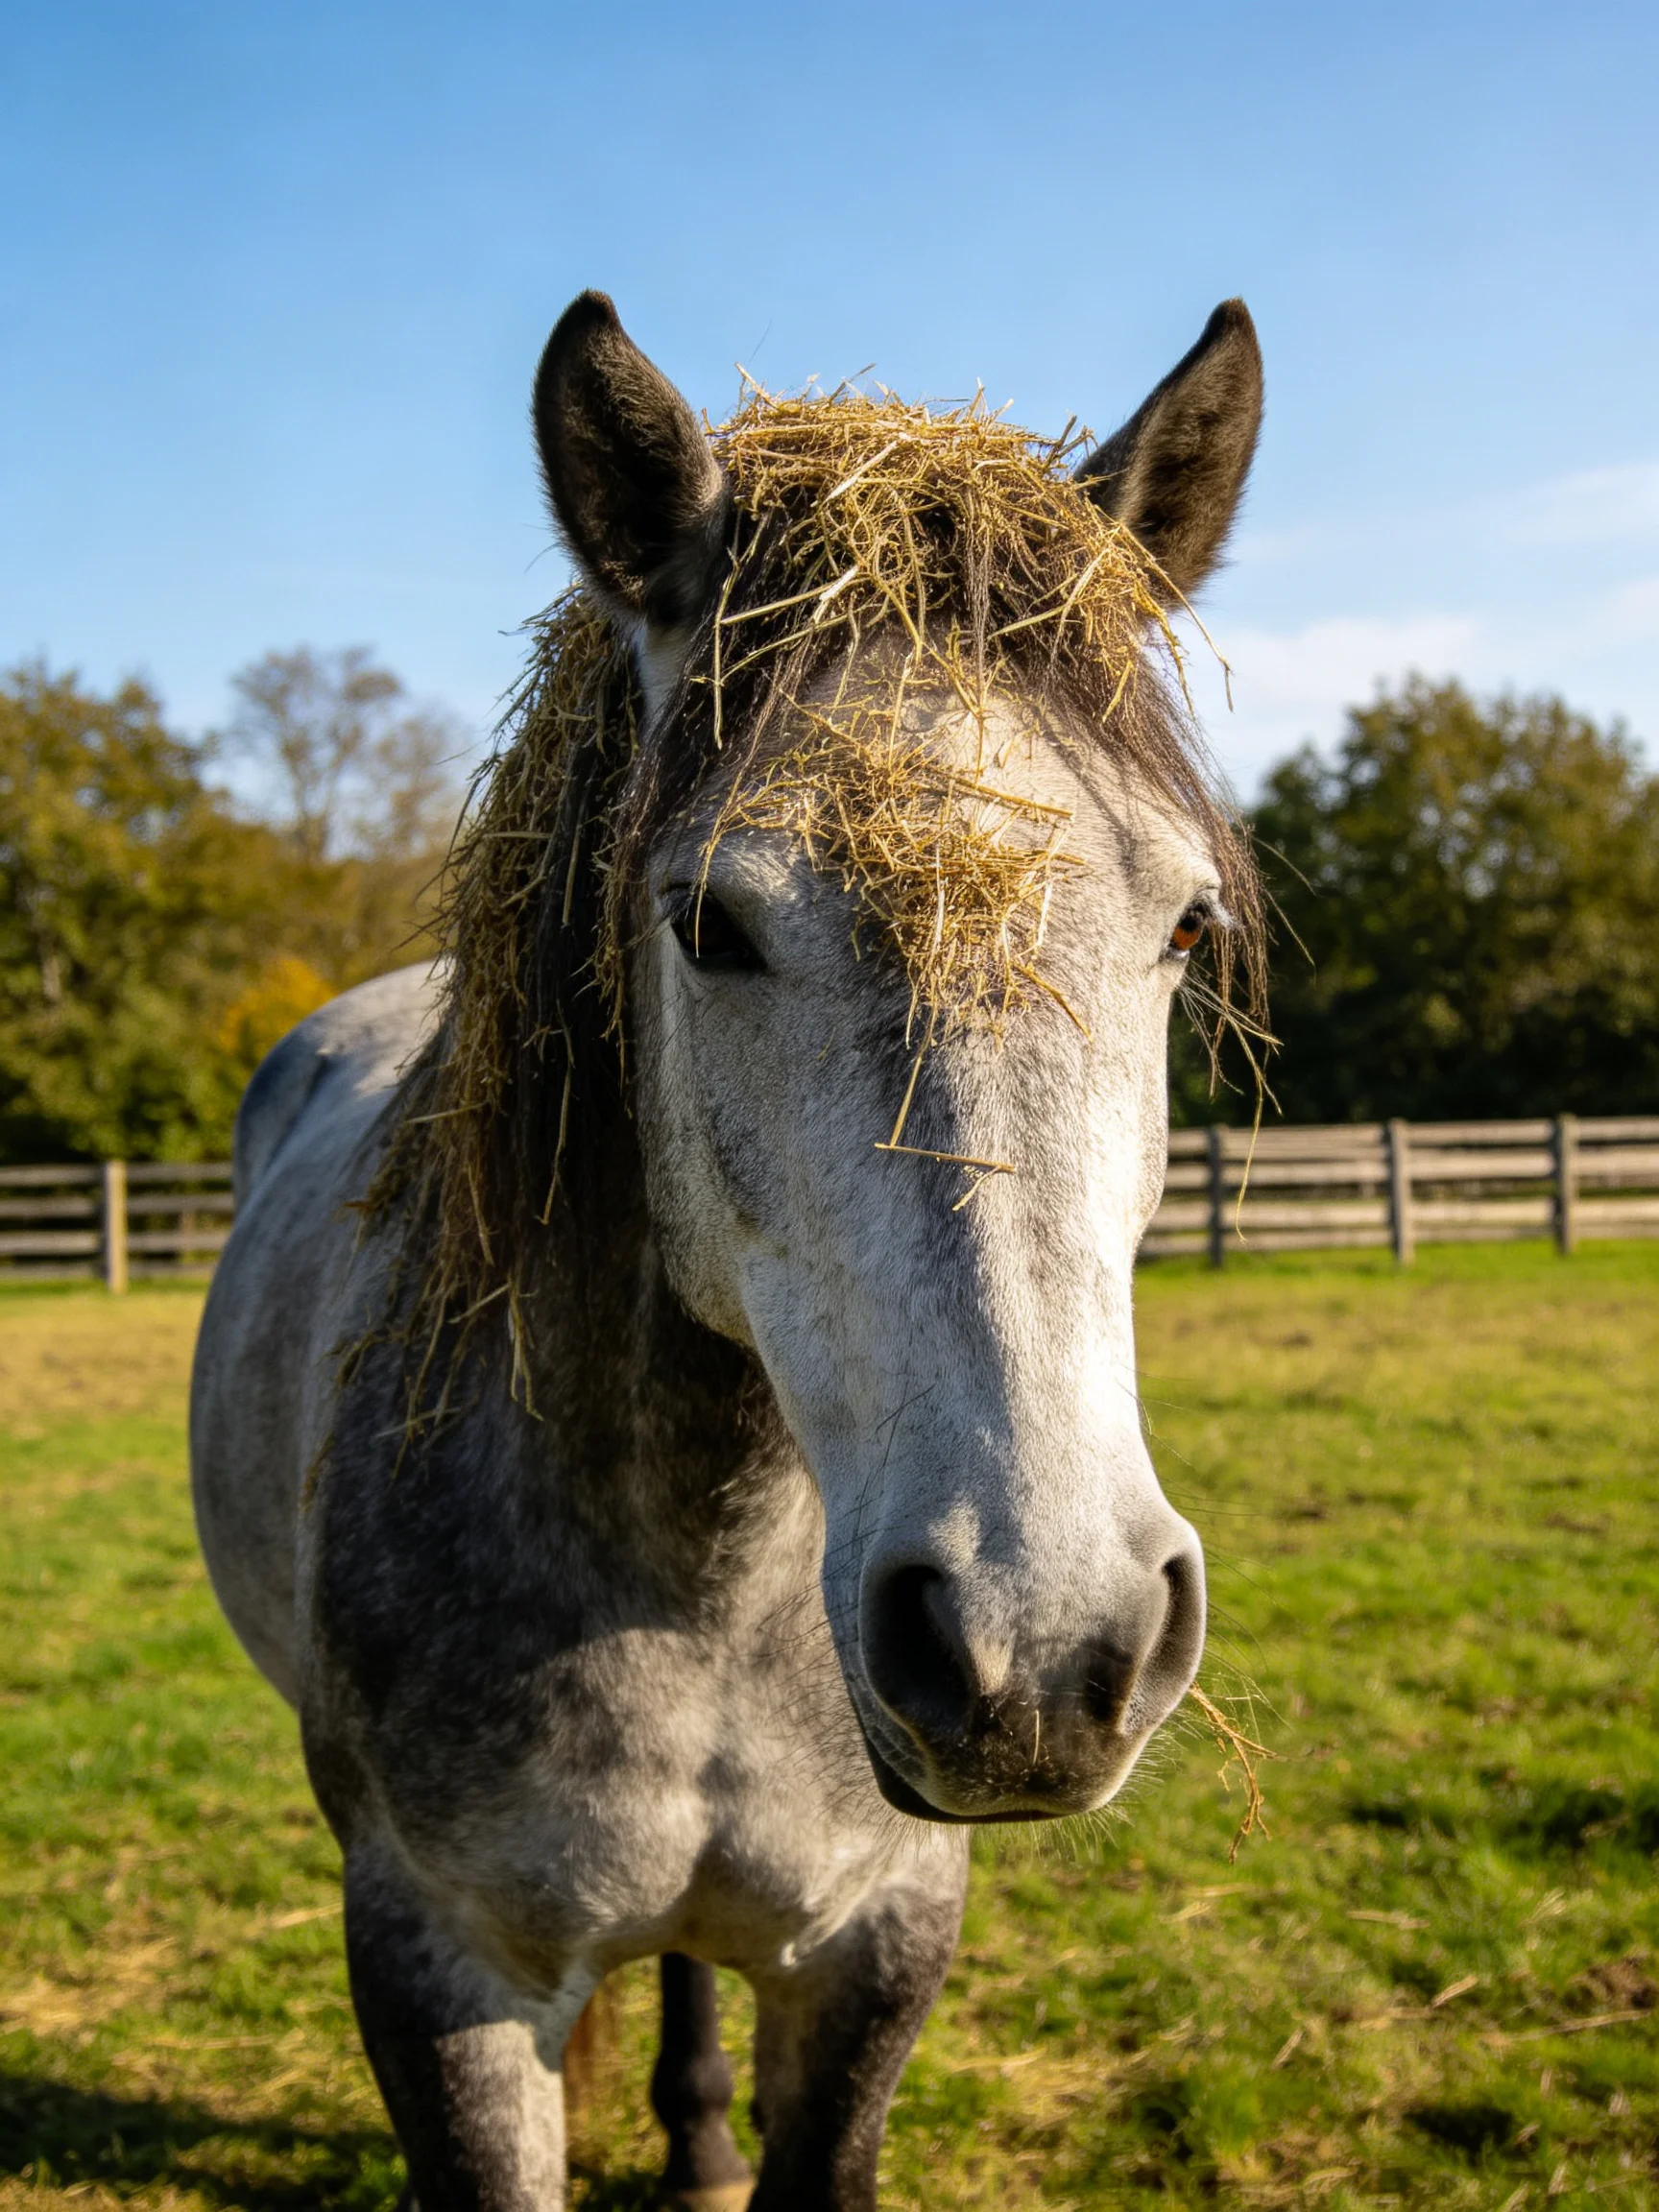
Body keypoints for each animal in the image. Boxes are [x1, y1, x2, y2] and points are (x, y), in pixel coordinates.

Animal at [190, 289, 1264, 2212]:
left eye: (1184, 927)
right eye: (706, 921)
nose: (1043, 1647)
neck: (704, 1575)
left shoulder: (880, 1944)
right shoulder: (439, 1971)